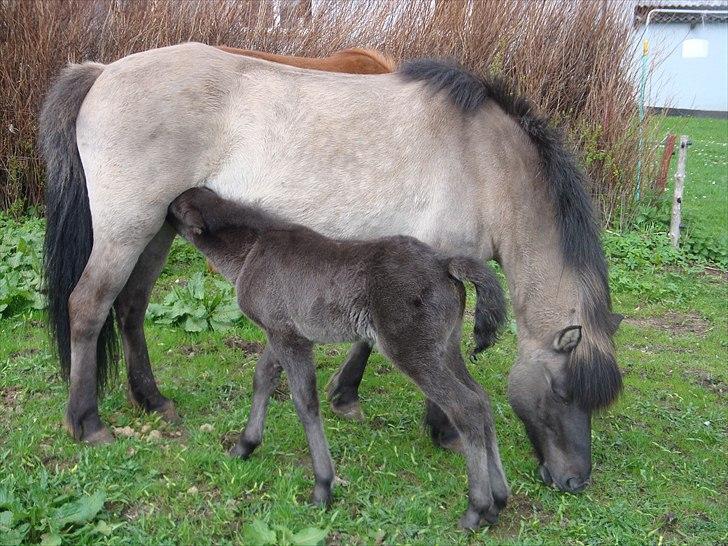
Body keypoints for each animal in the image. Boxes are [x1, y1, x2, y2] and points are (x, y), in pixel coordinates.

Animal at [169, 188, 512, 528]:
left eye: (173, 208)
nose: (162, 213)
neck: (253, 248)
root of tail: (444, 262)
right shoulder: (282, 332)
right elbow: (263, 377)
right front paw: (244, 445)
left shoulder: (290, 339)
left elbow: (305, 403)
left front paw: (322, 487)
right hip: (446, 348)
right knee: (482, 401)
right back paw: (498, 501)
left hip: (411, 351)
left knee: (466, 407)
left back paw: (476, 509)